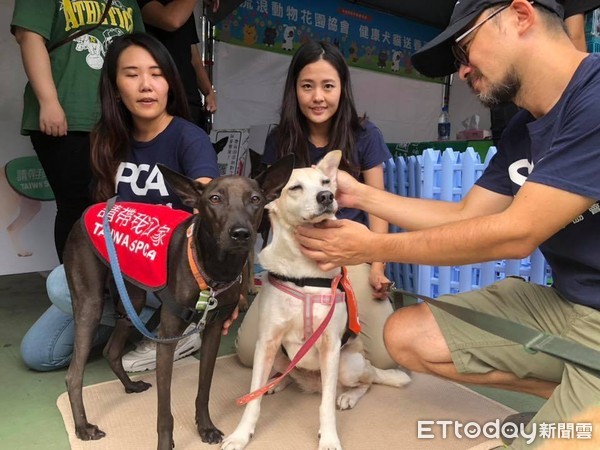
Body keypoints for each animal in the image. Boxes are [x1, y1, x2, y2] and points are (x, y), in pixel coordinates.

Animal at [62, 156, 292, 448]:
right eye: (214, 198)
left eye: (255, 199)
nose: (241, 233)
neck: (215, 271)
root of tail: (92, 210)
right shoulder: (168, 338)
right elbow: (164, 411)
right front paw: (165, 442)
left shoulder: (213, 331)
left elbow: (204, 389)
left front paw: (205, 427)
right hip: (90, 304)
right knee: (73, 374)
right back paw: (83, 426)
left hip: (133, 299)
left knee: (111, 351)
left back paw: (130, 385)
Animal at [223, 151, 410, 450]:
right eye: (295, 187)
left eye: (325, 182)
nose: (326, 196)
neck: (304, 270)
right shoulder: (267, 343)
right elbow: (253, 398)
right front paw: (241, 434)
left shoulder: (330, 346)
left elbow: (326, 406)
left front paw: (329, 438)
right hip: (276, 357)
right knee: (285, 376)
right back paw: (276, 383)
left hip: (348, 365)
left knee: (365, 382)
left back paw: (347, 396)